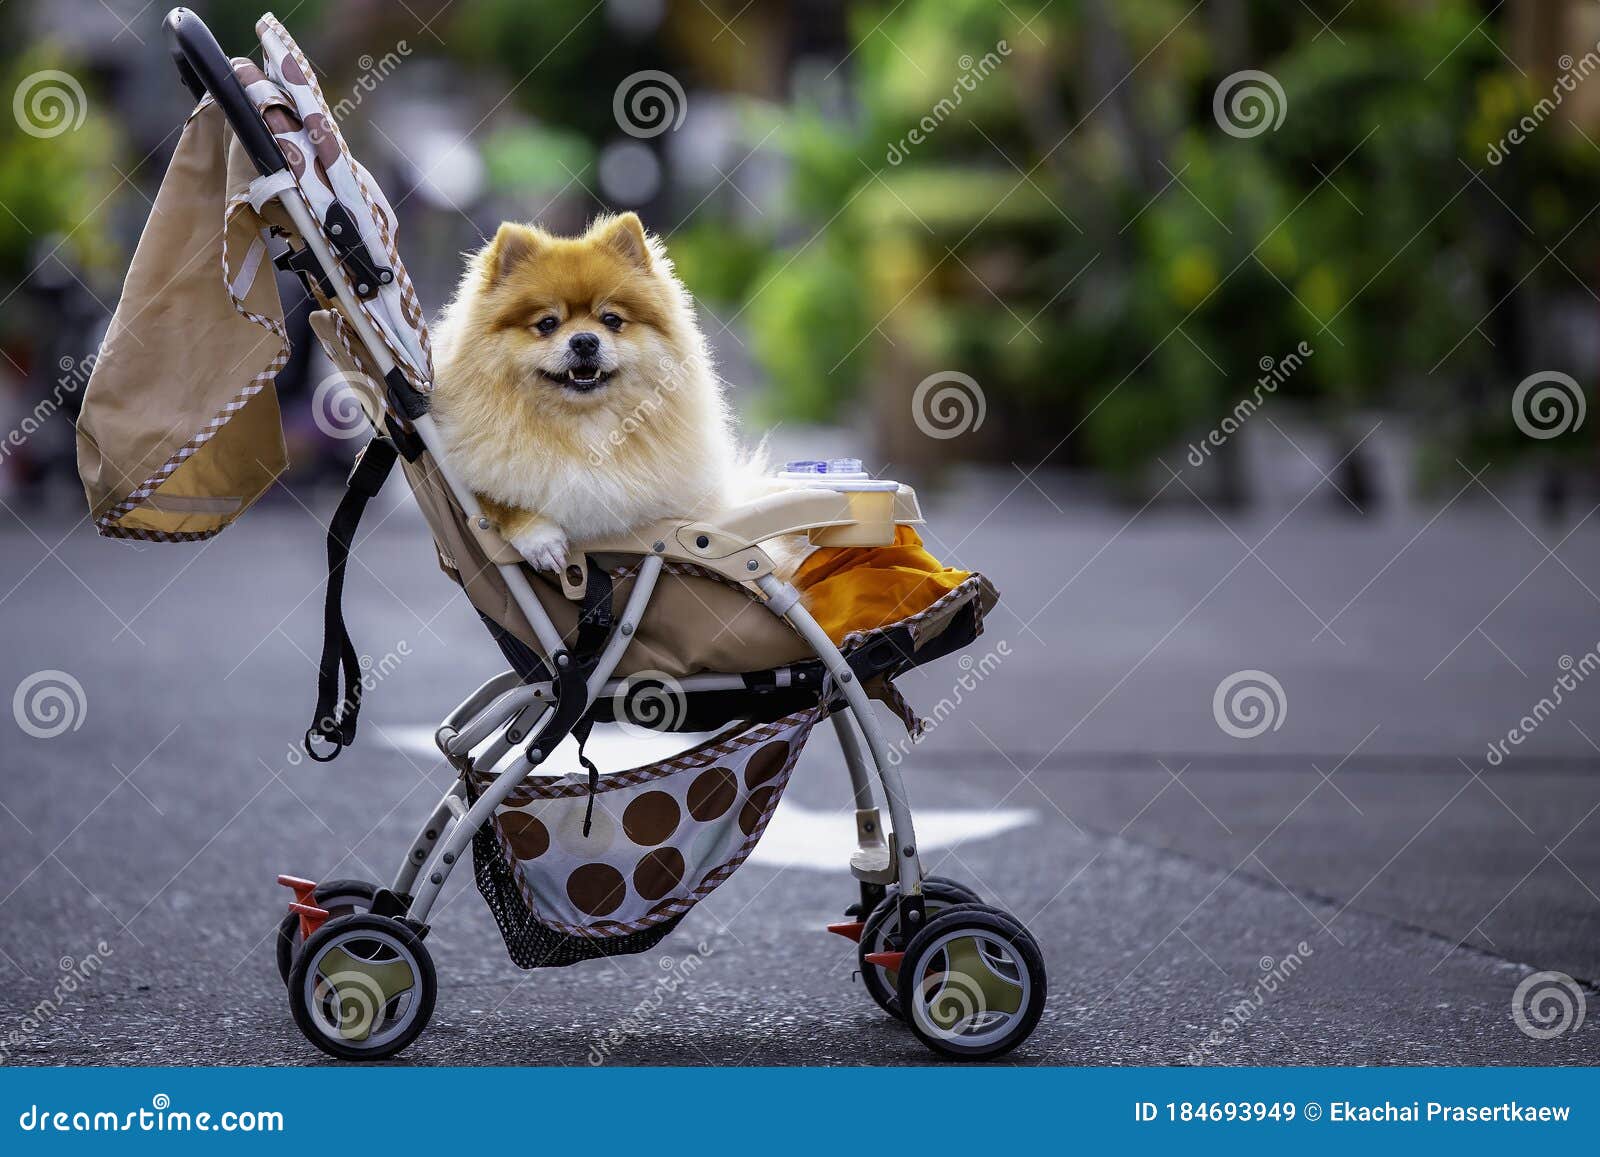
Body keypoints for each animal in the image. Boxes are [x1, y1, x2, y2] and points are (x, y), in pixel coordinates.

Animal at [428, 211, 745, 572]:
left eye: (611, 320)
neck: (585, 430)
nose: (584, 340)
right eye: (547, 324)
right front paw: (541, 540)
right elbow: (493, 501)